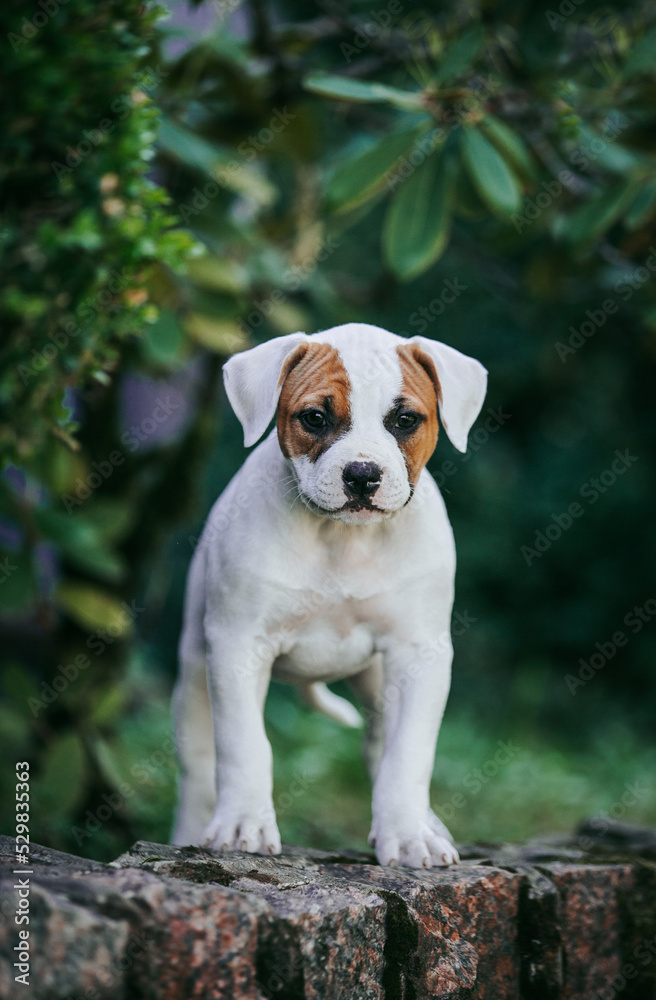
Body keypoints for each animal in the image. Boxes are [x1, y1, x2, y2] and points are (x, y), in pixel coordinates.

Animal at [174, 322, 486, 868]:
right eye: (315, 418)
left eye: (406, 420)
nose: (362, 474)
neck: (342, 541)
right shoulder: (237, 646)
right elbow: (244, 744)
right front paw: (243, 825)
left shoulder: (419, 655)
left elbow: (408, 754)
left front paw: (409, 835)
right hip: (194, 670)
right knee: (197, 764)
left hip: (380, 680)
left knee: (381, 746)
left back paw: (420, 823)